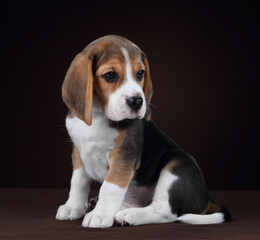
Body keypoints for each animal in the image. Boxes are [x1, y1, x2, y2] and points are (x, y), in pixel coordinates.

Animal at [55, 35, 231, 227]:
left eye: (140, 73)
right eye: (110, 75)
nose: (137, 102)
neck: (99, 114)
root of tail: (207, 198)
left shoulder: (123, 155)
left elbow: (110, 187)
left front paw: (100, 215)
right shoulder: (78, 151)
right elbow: (78, 180)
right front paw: (73, 206)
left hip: (177, 164)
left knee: (166, 212)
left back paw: (131, 215)